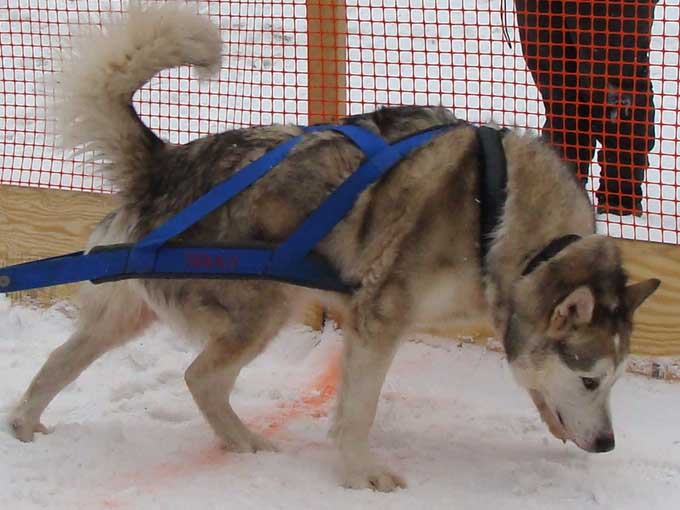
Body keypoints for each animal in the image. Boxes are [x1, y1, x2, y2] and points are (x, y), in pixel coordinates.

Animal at [9, 1, 660, 492]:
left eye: (616, 380)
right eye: (590, 380)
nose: (608, 444)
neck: (495, 214)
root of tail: (164, 163)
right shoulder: (380, 318)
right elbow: (357, 409)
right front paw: (358, 473)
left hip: (129, 312)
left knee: (60, 361)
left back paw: (23, 424)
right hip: (267, 306)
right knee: (200, 378)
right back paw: (245, 441)